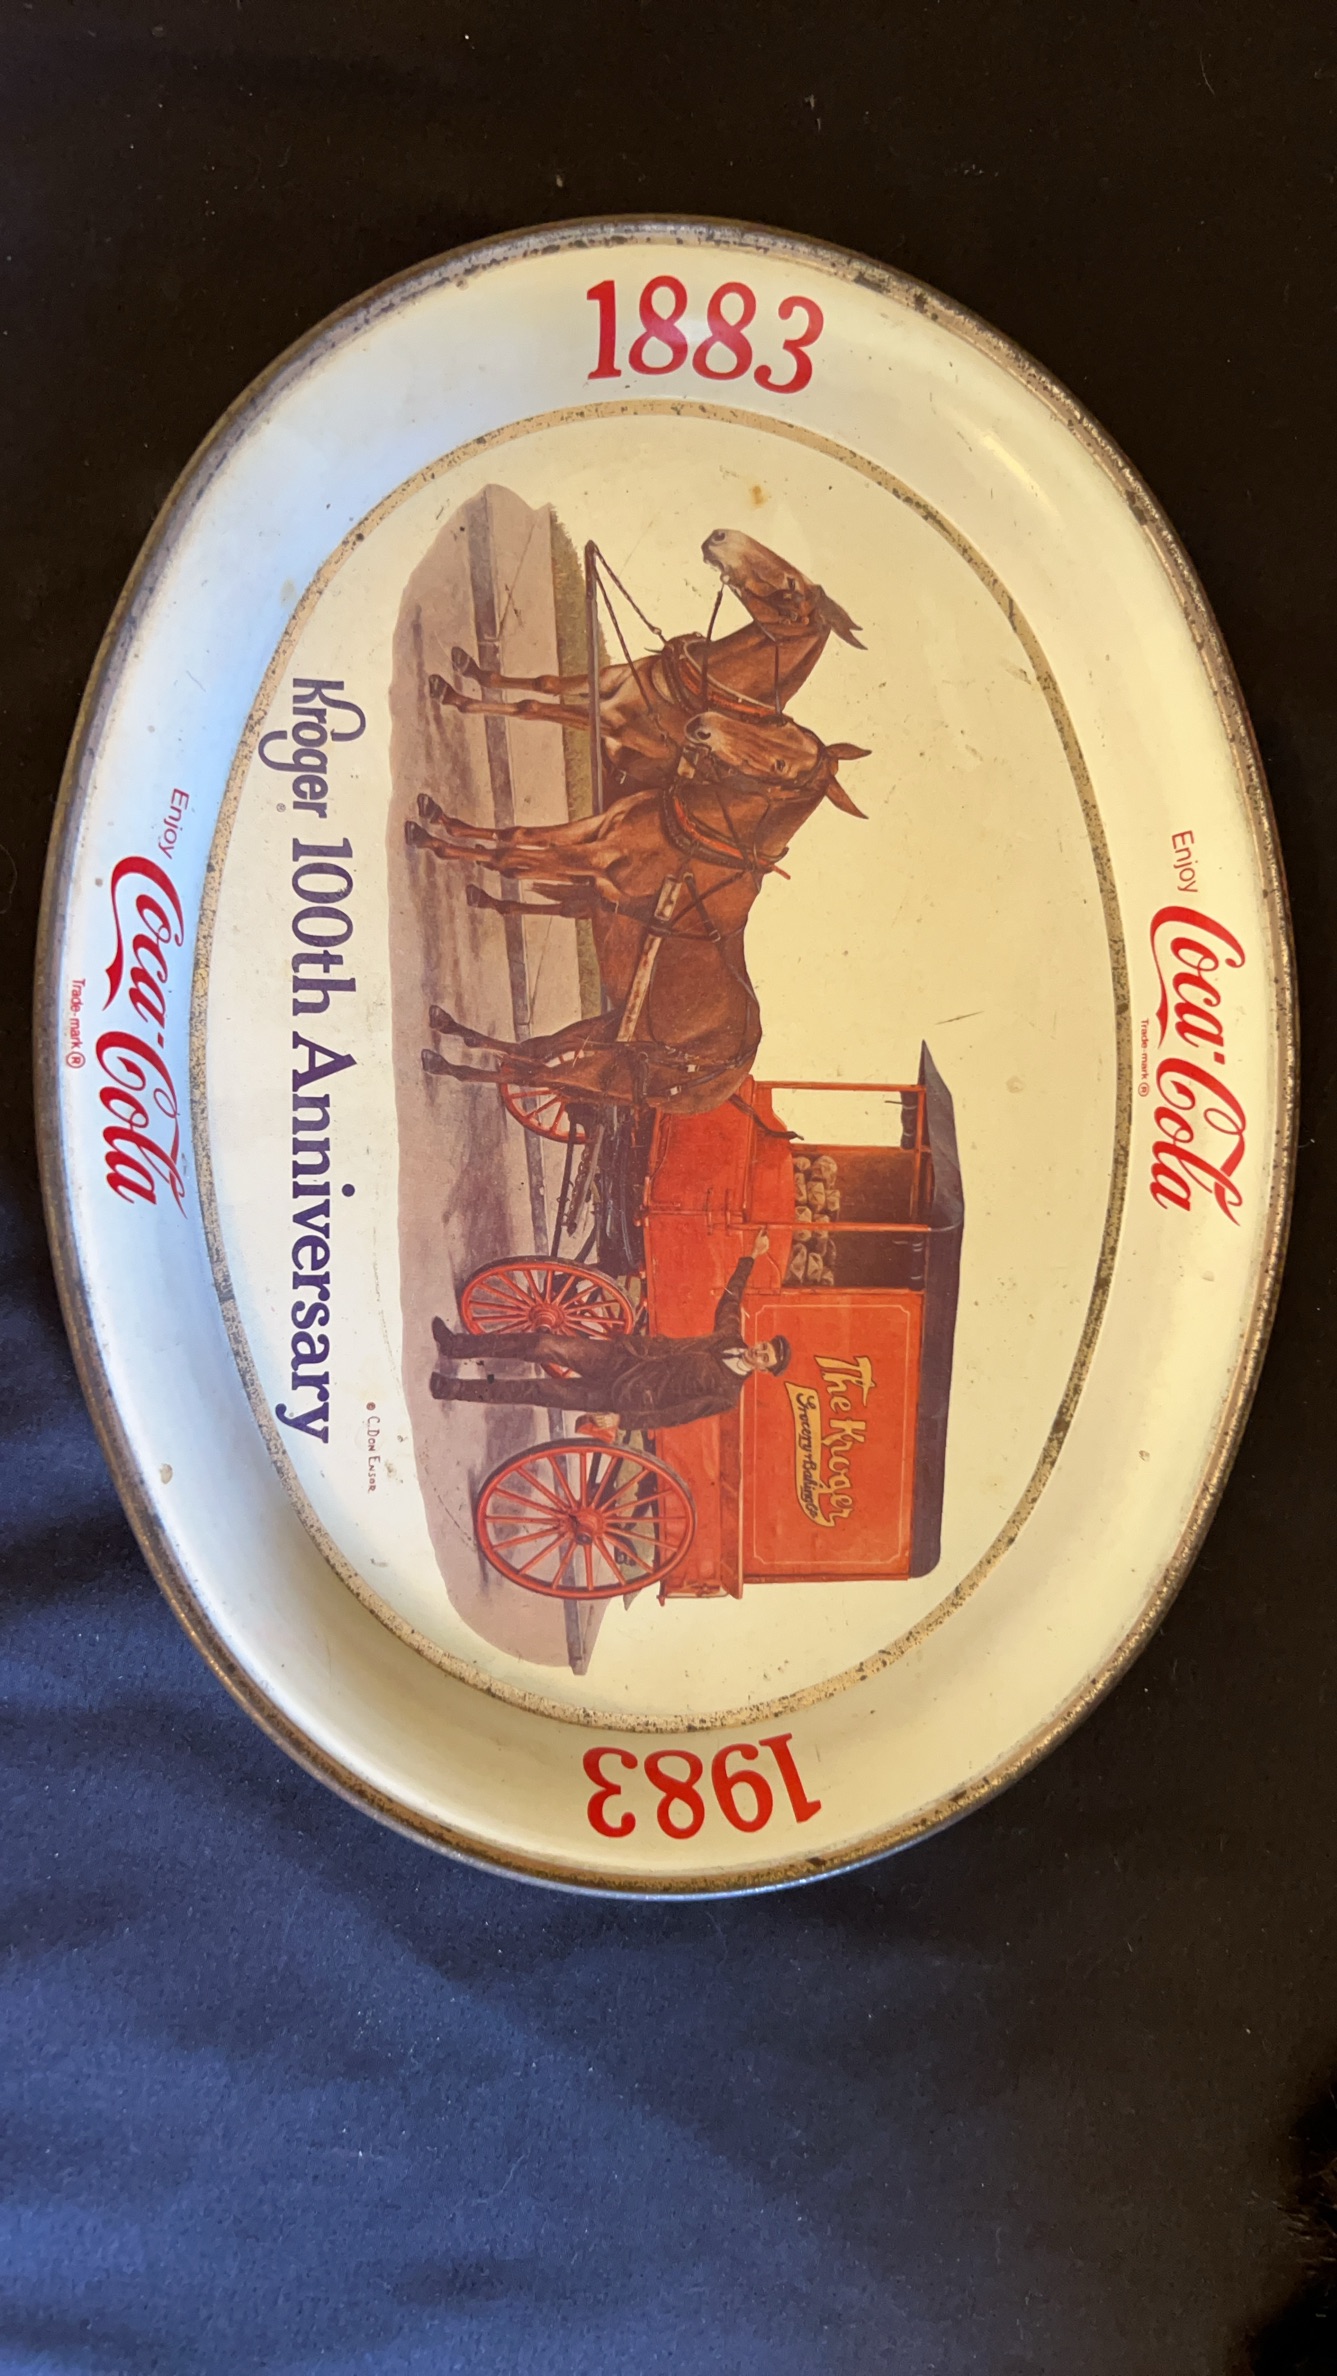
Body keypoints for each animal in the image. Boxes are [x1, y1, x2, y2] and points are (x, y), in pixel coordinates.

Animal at [408, 709, 871, 1119]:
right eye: (780, 723)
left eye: (781, 765)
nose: (703, 726)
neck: (706, 837)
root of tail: (728, 1081)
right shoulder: (594, 831)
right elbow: (516, 835)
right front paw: (439, 821)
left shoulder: (596, 859)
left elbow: (510, 859)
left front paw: (433, 843)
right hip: (600, 1035)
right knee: (533, 1052)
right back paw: (451, 1028)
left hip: (601, 1072)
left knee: (538, 1074)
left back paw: (446, 1064)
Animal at [428, 529, 865, 798]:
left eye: (792, 593)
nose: (722, 536)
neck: (686, 690)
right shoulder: (609, 678)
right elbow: (545, 682)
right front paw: (467, 671)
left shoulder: (610, 721)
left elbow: (530, 706)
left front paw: (453, 696)